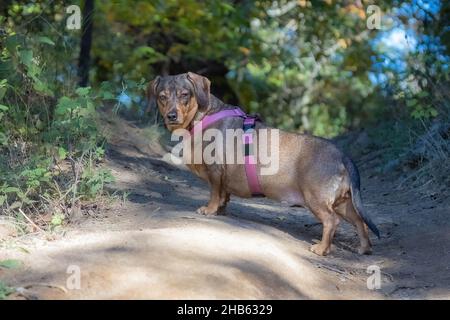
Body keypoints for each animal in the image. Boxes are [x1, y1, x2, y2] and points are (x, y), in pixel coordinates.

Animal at [149, 72, 380, 255]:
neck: (203, 116)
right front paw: (221, 209)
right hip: (343, 204)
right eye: (162, 97)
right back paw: (363, 248)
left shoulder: (215, 171)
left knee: (332, 222)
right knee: (360, 222)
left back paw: (322, 249)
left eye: (184, 94)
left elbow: (215, 193)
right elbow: (224, 195)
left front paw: (210, 209)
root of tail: (343, 156)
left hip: (316, 199)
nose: (171, 115)